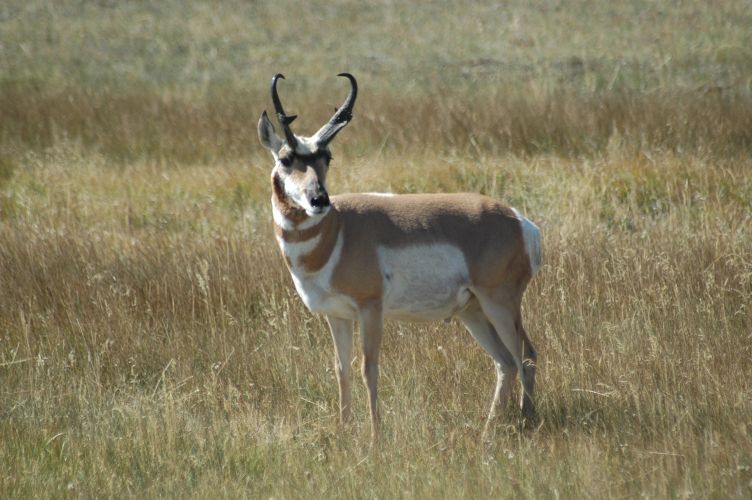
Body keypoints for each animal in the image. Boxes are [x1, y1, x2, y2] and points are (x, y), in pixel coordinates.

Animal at [258, 73, 542, 441]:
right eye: (285, 159)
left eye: (327, 157)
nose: (319, 199)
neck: (339, 229)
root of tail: (519, 220)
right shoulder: (337, 316)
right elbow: (341, 369)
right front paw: (344, 431)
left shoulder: (371, 310)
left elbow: (368, 368)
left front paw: (376, 436)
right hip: (473, 312)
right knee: (505, 362)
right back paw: (487, 430)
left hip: (500, 305)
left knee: (526, 356)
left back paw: (527, 421)